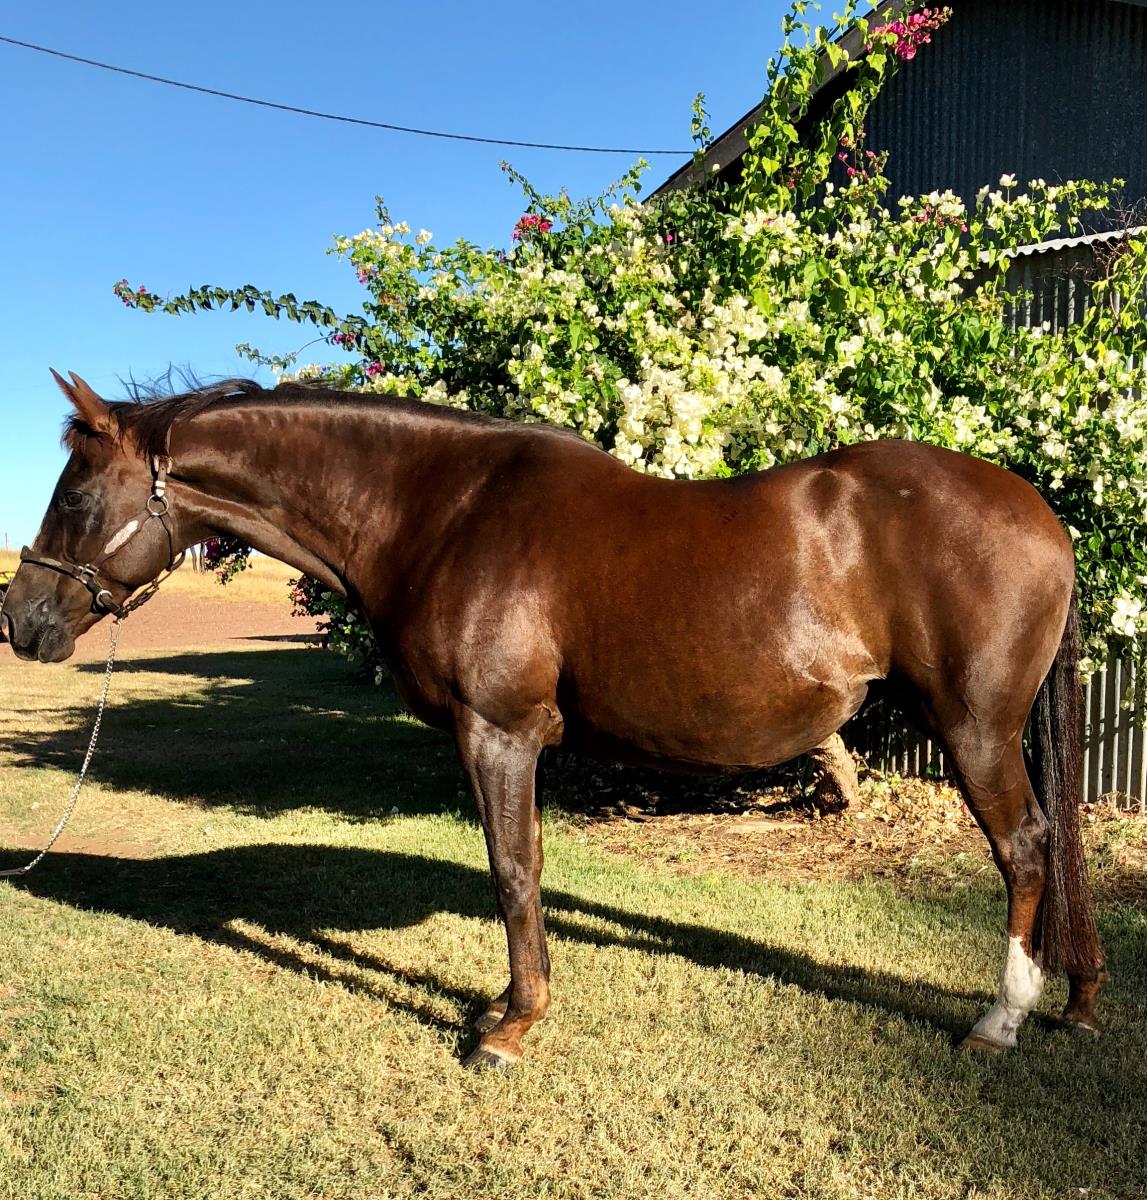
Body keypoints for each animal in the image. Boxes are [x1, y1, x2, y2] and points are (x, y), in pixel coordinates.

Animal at [0, 371, 1105, 1070]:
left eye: (78, 496)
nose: (21, 620)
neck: (441, 511)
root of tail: (1039, 513)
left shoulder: (499, 733)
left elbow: (512, 870)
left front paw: (509, 1027)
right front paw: (505, 1006)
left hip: (972, 727)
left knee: (1024, 846)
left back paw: (999, 1020)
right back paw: (1076, 1001)